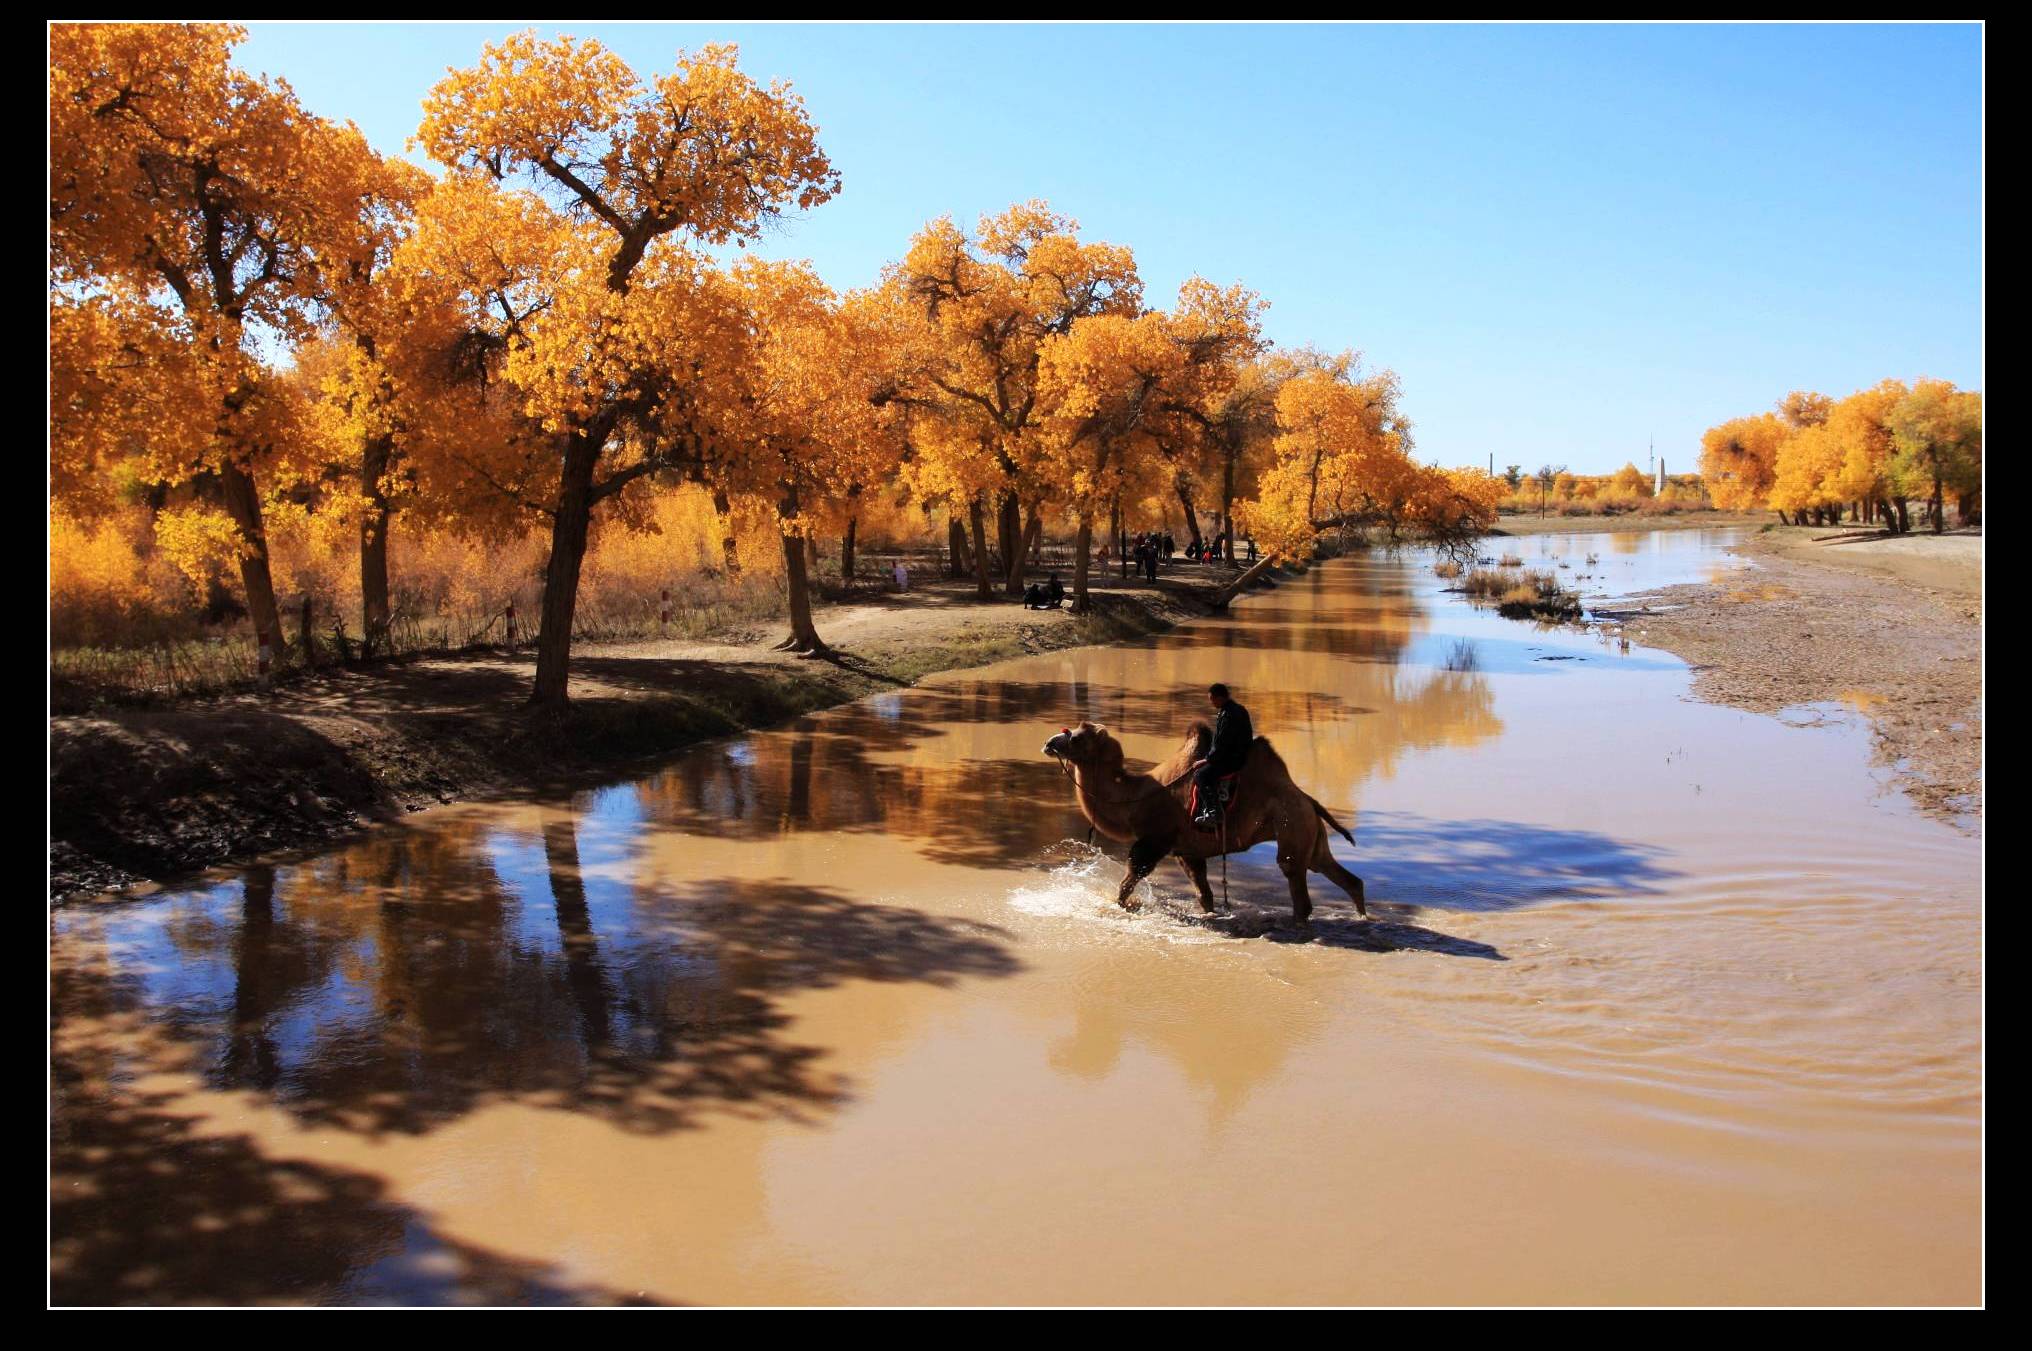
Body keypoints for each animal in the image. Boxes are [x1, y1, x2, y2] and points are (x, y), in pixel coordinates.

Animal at [1048, 723, 1365, 922]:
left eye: (1076, 738)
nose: (1049, 742)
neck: (1134, 797)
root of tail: (1309, 800)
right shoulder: (1187, 850)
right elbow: (1204, 894)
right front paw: (1210, 914)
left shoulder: (1156, 840)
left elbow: (1129, 879)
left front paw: (1124, 906)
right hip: (1310, 831)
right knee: (1339, 874)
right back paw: (1362, 916)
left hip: (1291, 823)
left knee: (1294, 875)